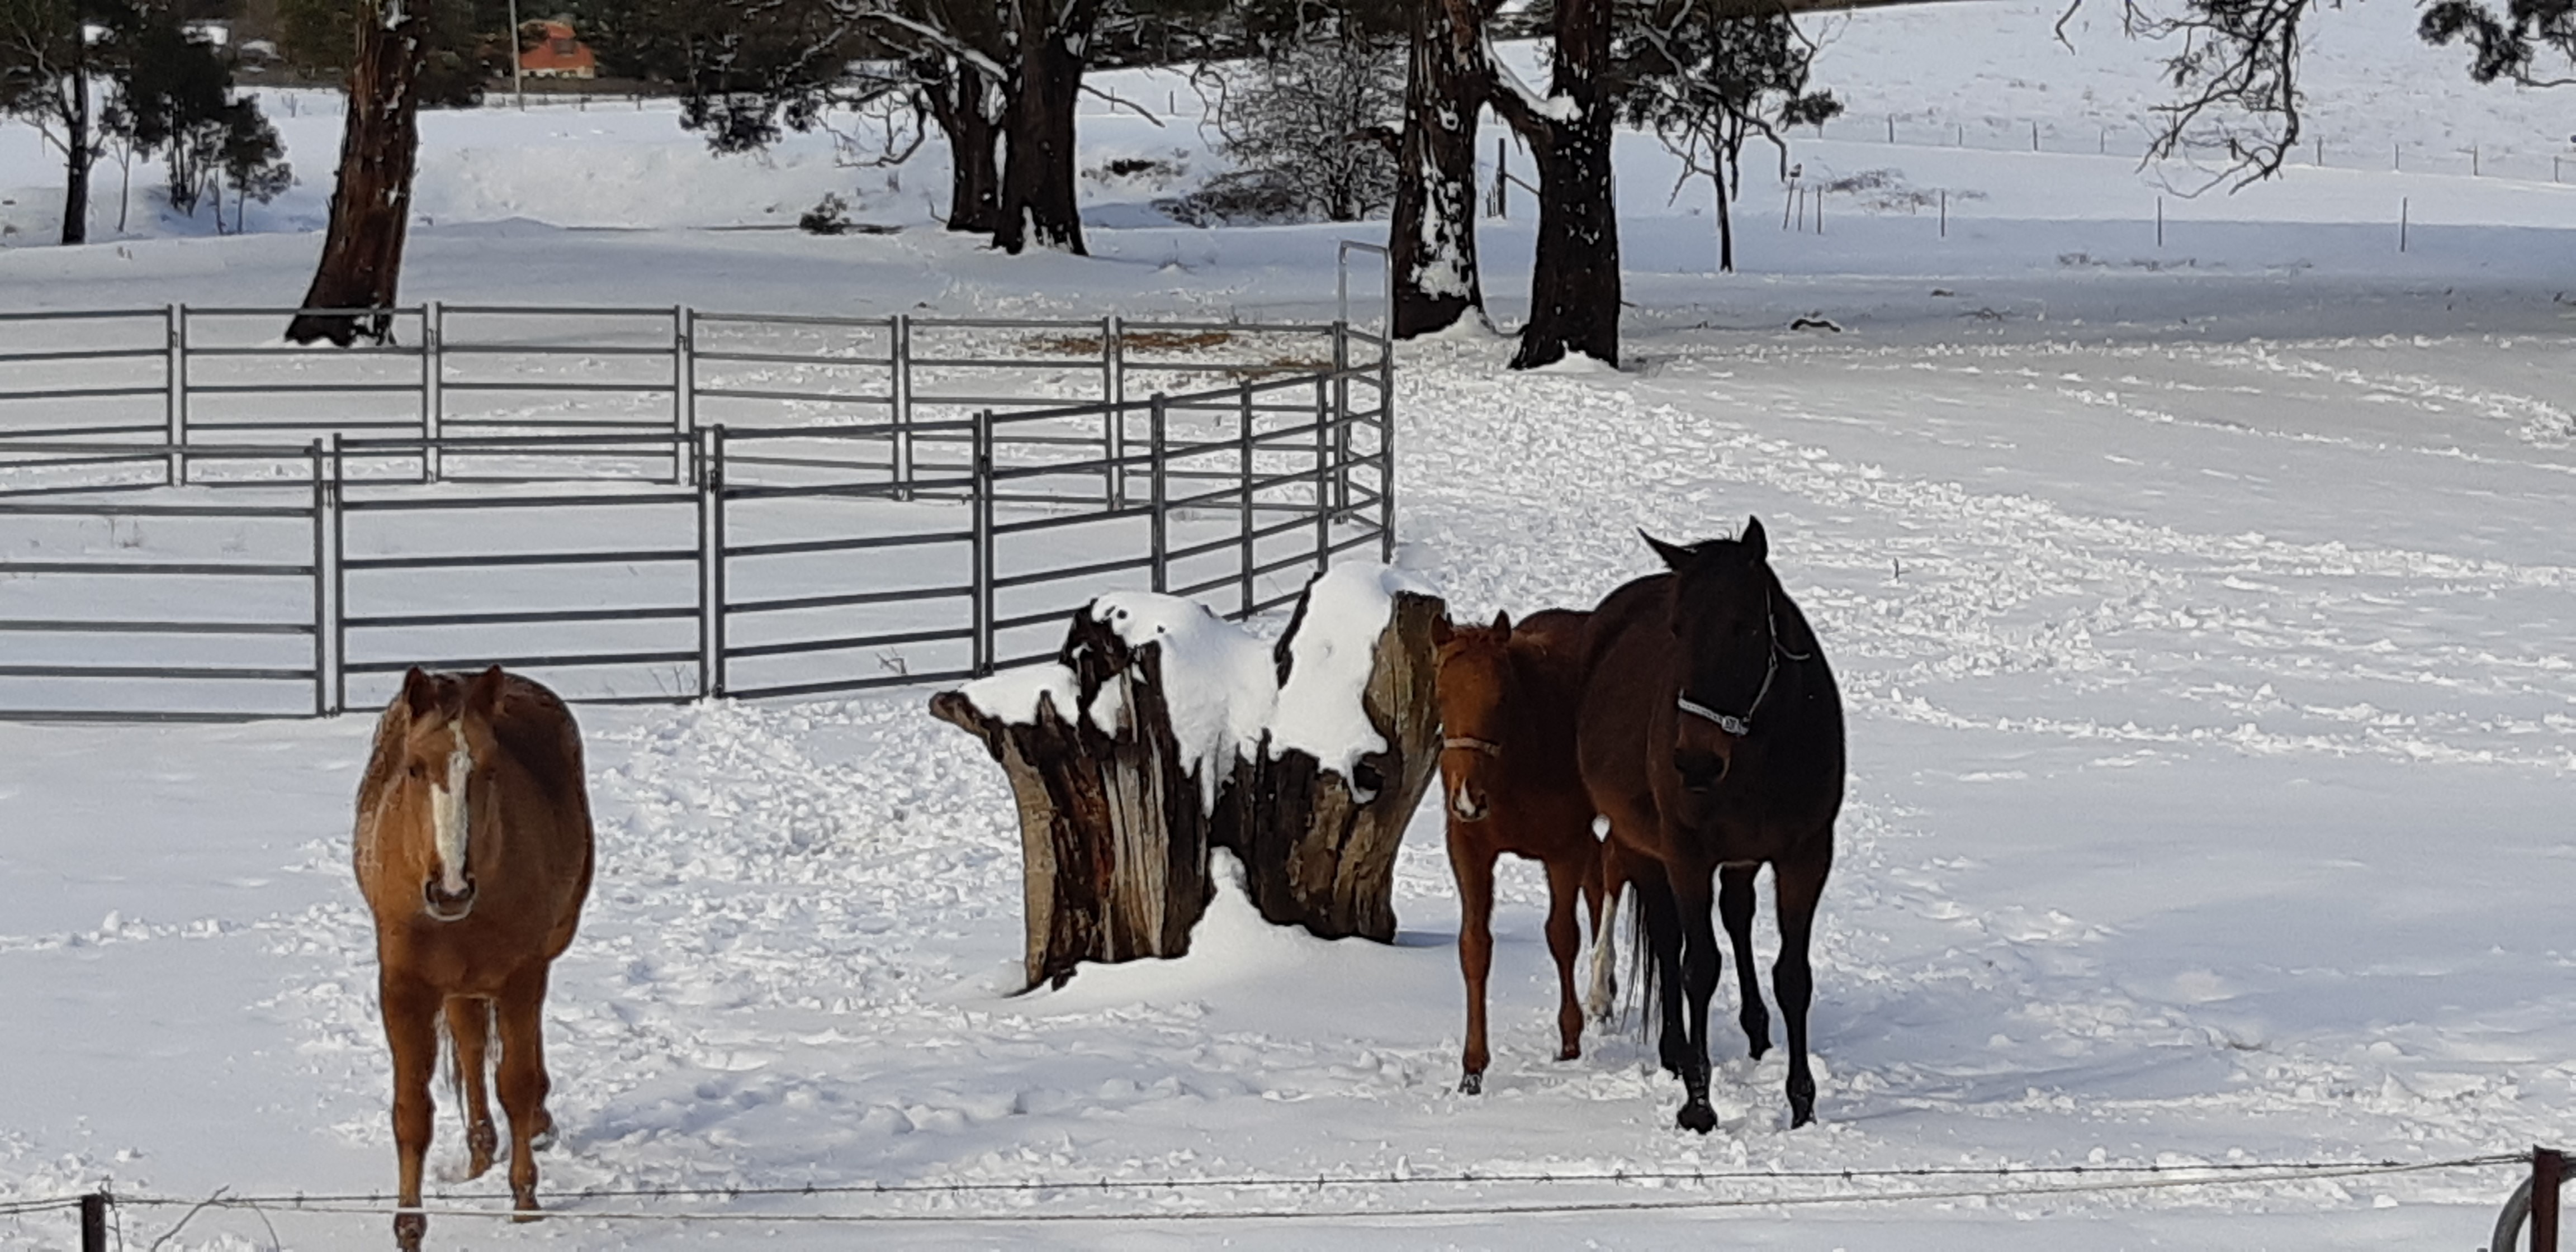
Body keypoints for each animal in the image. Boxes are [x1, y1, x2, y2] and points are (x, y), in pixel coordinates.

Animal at [353, 666, 595, 1250]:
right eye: (415, 767)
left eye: (487, 769)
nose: (450, 890)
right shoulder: (403, 987)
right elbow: (412, 1111)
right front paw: (409, 1226)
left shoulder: (521, 975)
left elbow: (518, 1081)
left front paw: (526, 1201)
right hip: (460, 984)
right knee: (469, 1044)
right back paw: (479, 1154)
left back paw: (532, 1128)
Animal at [1431, 608, 1612, 1094]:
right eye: (1441, 695)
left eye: (1501, 697)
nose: (1466, 798)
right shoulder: (1469, 850)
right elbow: (1474, 946)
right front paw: (1472, 1068)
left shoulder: (1563, 850)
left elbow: (1562, 936)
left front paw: (1569, 1041)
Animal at [1577, 518, 1843, 1131]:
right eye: (1677, 629)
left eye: (1745, 627)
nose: (1695, 761)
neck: (1758, 757)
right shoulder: (1687, 854)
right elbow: (1697, 966)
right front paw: (1698, 1105)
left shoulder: (1805, 855)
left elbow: (1793, 976)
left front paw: (1801, 1103)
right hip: (1644, 847)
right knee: (1668, 937)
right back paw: (1673, 1050)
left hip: (1736, 859)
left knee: (1736, 915)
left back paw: (1756, 1034)